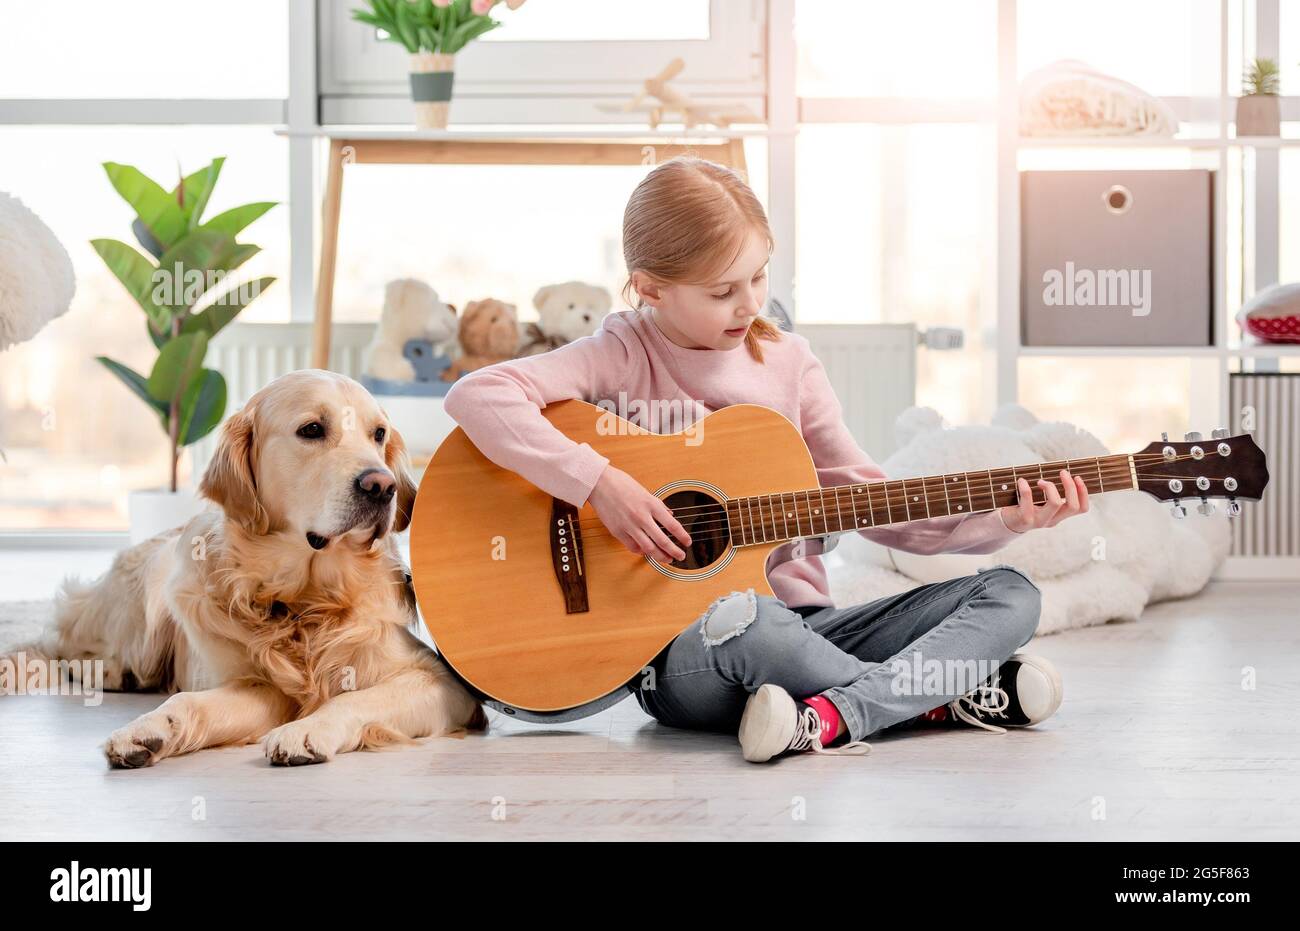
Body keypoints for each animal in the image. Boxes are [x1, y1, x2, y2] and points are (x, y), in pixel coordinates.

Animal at [17, 371, 486, 769]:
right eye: (312, 430)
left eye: (378, 434)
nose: (382, 485)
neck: (305, 601)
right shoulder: (256, 682)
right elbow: (186, 701)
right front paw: (142, 730)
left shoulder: (442, 684)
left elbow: (354, 699)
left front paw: (307, 730)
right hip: (151, 591)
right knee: (61, 639)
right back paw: (106, 671)